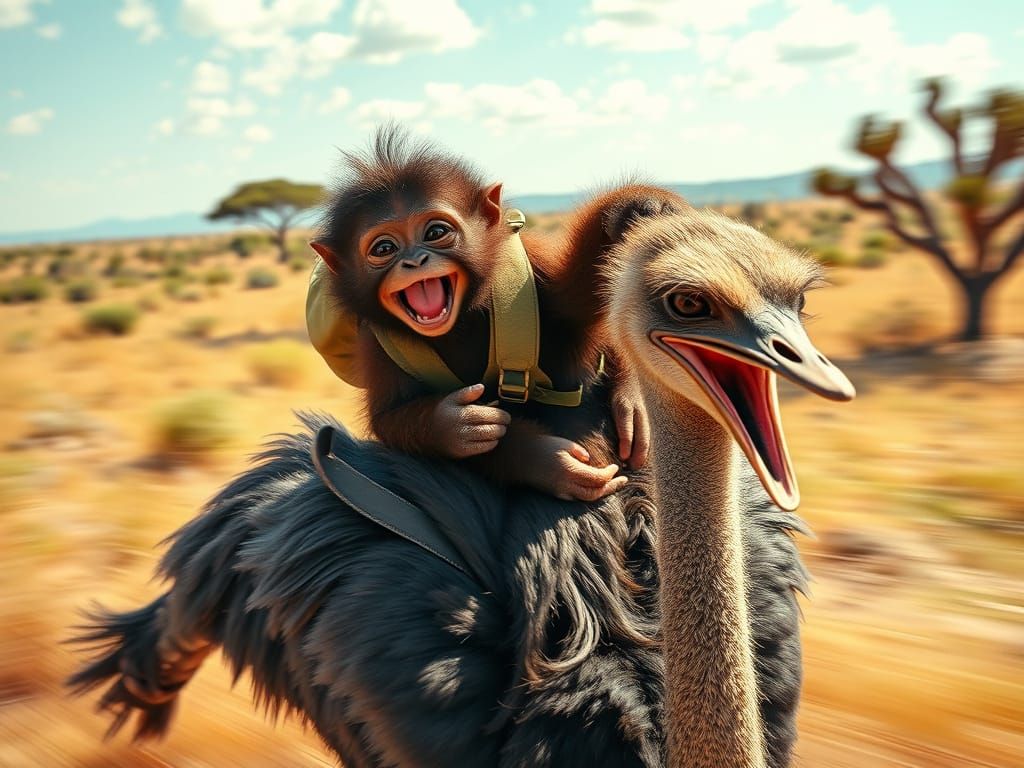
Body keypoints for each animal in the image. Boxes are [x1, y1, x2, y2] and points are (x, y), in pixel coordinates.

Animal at [309, 128, 685, 501]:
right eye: (384, 248)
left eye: (435, 233)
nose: (414, 261)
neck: (461, 319)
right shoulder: (373, 341)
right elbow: (389, 417)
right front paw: (463, 429)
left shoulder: (533, 267)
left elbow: (578, 297)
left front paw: (637, 205)